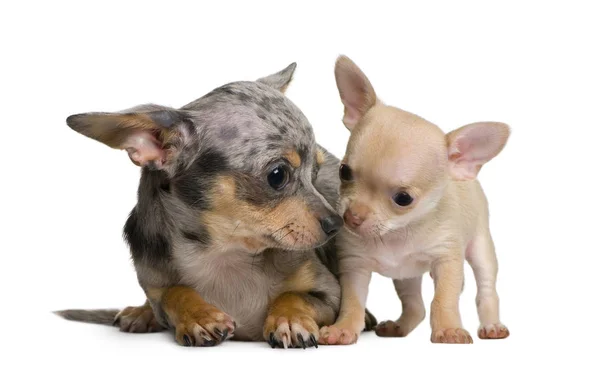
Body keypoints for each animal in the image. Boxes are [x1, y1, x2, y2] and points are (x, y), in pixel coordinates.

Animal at [55, 61, 376, 348]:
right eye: (277, 176)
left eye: (316, 173)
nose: (336, 224)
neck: (226, 253)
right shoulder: (157, 287)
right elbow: (173, 292)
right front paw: (199, 316)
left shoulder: (330, 295)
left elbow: (294, 295)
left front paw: (289, 320)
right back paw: (140, 313)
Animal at [318, 54, 510, 342]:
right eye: (344, 172)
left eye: (403, 198)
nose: (351, 217)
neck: (396, 234)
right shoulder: (354, 265)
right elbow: (353, 301)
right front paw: (343, 329)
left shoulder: (447, 260)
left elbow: (443, 300)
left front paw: (449, 329)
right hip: (405, 276)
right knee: (415, 305)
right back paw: (398, 326)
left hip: (481, 247)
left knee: (486, 289)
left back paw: (491, 325)